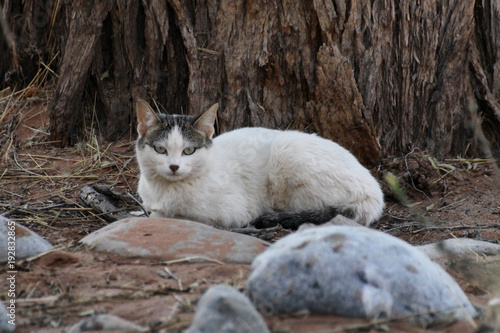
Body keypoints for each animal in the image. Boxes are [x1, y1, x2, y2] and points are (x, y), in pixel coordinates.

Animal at [135, 98, 384, 228]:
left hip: (288, 154)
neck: (163, 190)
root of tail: (375, 192)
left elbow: (172, 215)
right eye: (160, 149)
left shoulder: (234, 213)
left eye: (189, 151)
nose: (174, 167)